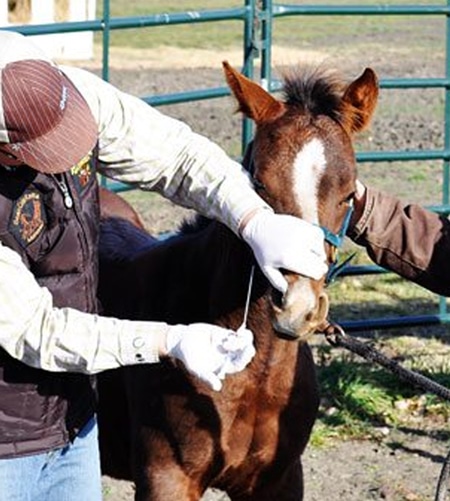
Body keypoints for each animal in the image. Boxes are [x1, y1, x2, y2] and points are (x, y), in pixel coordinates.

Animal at [97, 60, 380, 498]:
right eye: (258, 183)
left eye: (350, 193)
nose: (296, 307)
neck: (254, 375)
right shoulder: (166, 478)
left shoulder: (279, 479)